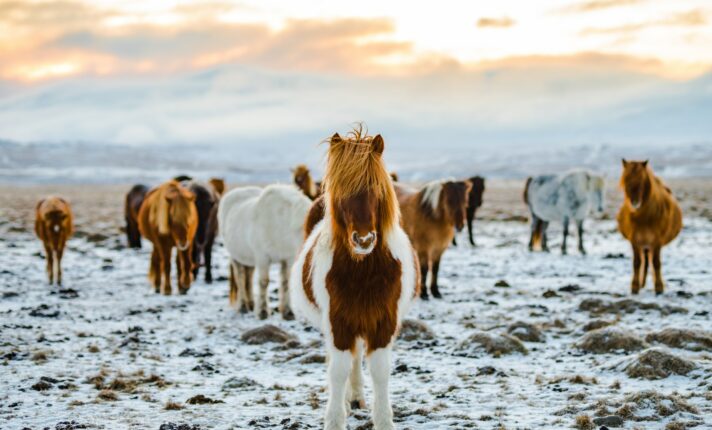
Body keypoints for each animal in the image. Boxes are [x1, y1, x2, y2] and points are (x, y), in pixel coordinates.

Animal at [214, 183, 308, 318]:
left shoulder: (288, 258)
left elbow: (286, 282)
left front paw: (288, 312)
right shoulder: (262, 257)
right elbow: (264, 282)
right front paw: (262, 312)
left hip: (249, 258)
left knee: (248, 277)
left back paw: (251, 304)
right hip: (236, 257)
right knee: (240, 278)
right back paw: (243, 306)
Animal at [290, 129, 420, 430]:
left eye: (377, 189)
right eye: (341, 192)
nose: (364, 240)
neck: (364, 272)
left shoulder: (383, 323)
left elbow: (380, 371)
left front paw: (383, 420)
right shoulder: (338, 323)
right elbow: (337, 370)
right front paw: (335, 419)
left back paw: (357, 398)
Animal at [616, 159, 680, 296]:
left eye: (642, 180)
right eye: (625, 180)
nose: (634, 203)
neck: (644, 219)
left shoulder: (657, 241)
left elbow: (656, 263)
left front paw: (659, 288)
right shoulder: (635, 241)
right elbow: (636, 262)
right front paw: (635, 287)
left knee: (649, 261)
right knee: (644, 260)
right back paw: (642, 283)